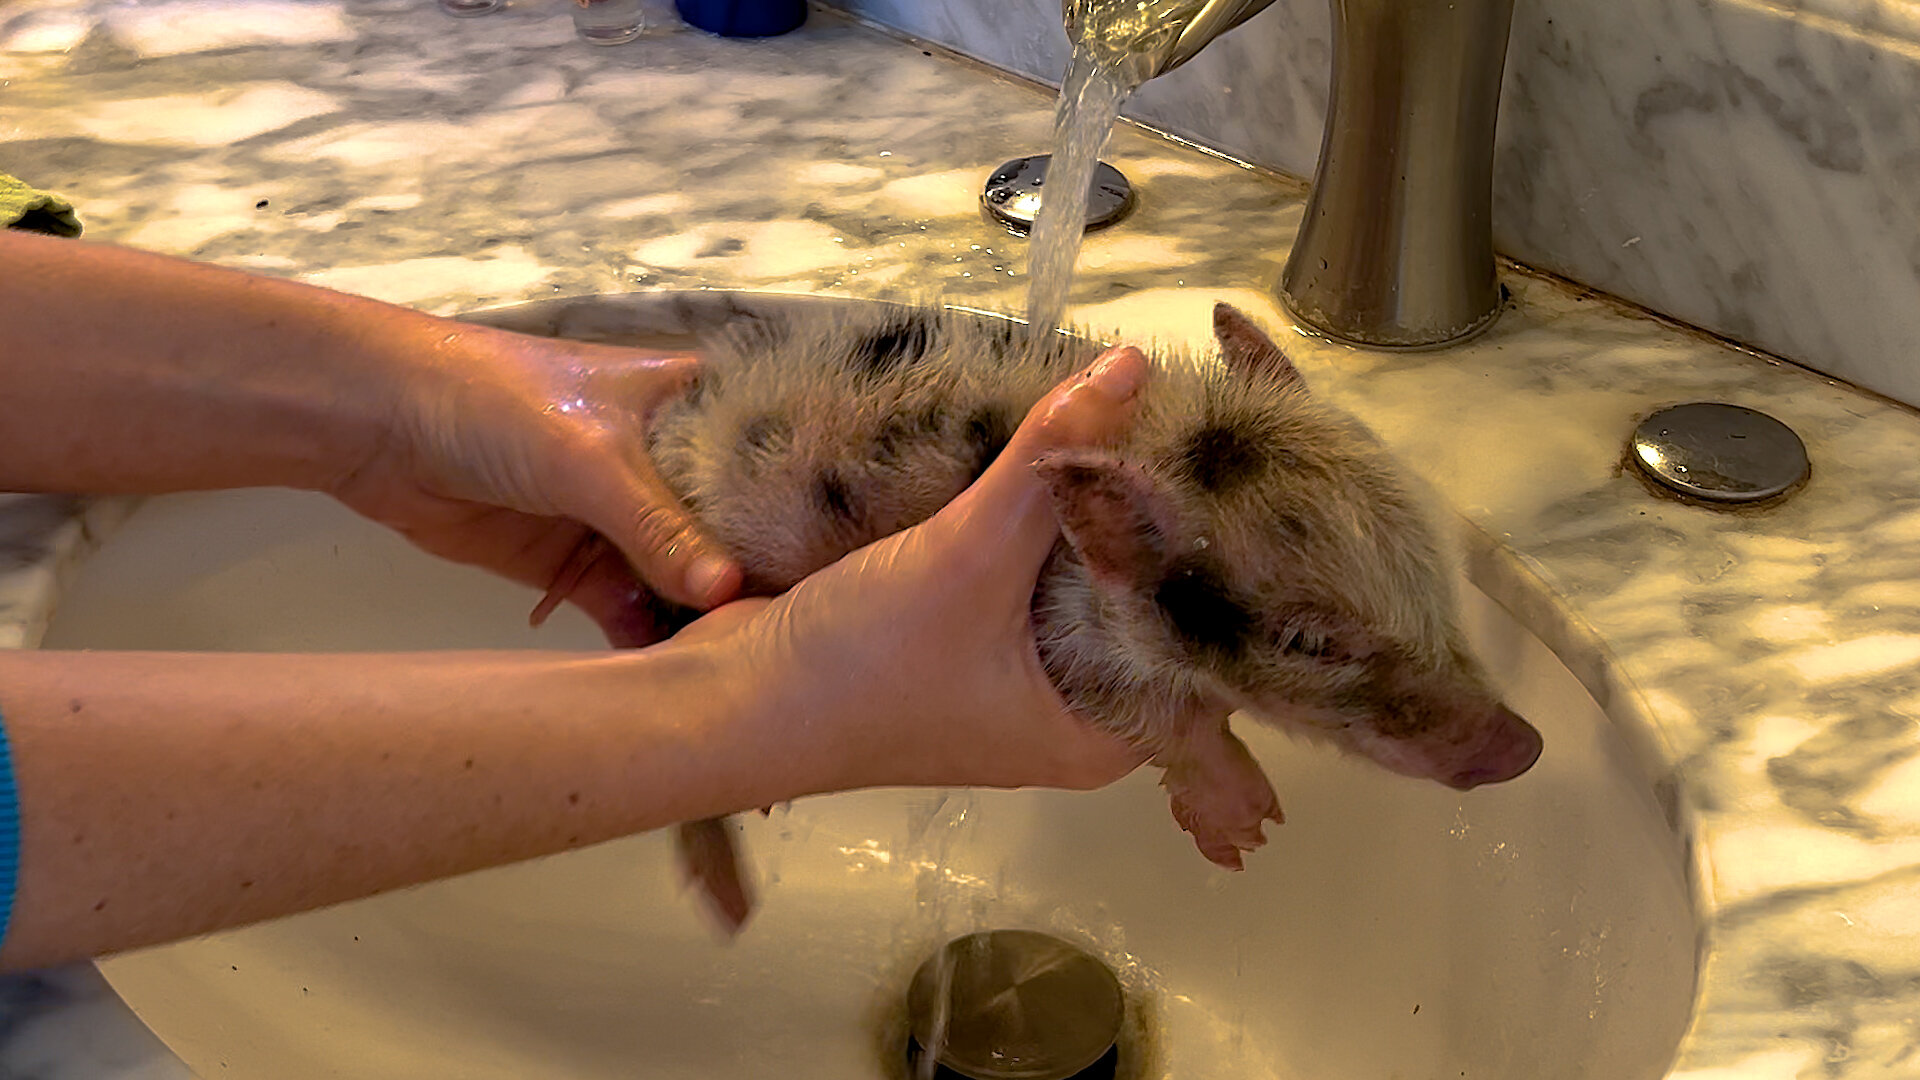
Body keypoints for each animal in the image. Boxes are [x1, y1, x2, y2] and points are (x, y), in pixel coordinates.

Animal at [536, 301, 1542, 929]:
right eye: (1308, 641)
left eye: (1432, 569)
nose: (1521, 747)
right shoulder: (1060, 636)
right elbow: (1167, 719)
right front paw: (1250, 832)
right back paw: (732, 910)